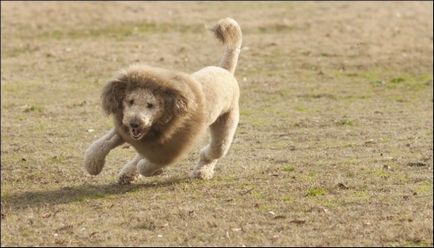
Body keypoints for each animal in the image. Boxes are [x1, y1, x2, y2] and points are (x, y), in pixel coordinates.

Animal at [83, 17, 242, 184]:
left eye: (150, 105)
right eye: (130, 101)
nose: (134, 123)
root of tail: (224, 70)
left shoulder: (170, 147)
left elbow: (147, 165)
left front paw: (156, 170)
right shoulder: (126, 130)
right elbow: (101, 145)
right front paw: (92, 165)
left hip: (225, 126)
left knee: (213, 151)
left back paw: (201, 171)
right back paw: (127, 174)